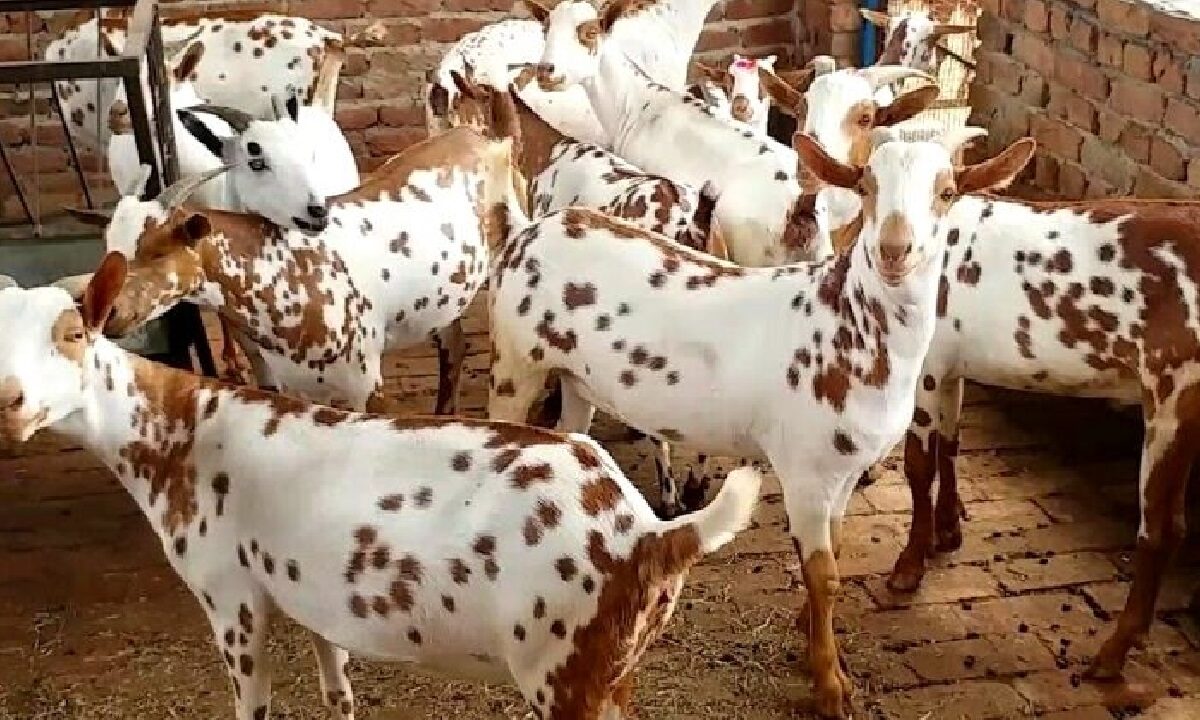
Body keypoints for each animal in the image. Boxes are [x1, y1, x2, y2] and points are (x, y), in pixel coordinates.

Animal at [0, 250, 760, 720]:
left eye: (73, 333)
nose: (10, 403)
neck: (176, 431)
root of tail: (653, 534)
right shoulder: (307, 596)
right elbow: (336, 689)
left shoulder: (230, 597)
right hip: (613, 669)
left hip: (562, 668)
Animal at [90, 126, 523, 417]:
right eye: (108, 246)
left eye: (159, 249)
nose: (106, 311)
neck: (286, 270)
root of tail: (484, 139)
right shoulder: (294, 385)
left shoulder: (366, 383)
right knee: (454, 344)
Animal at [486, 125, 1036, 716]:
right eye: (867, 187)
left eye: (948, 191)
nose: (894, 250)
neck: (850, 329)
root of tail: (528, 230)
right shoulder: (806, 470)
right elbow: (825, 575)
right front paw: (830, 684)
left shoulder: (844, 471)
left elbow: (836, 551)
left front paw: (808, 631)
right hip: (515, 363)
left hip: (574, 379)